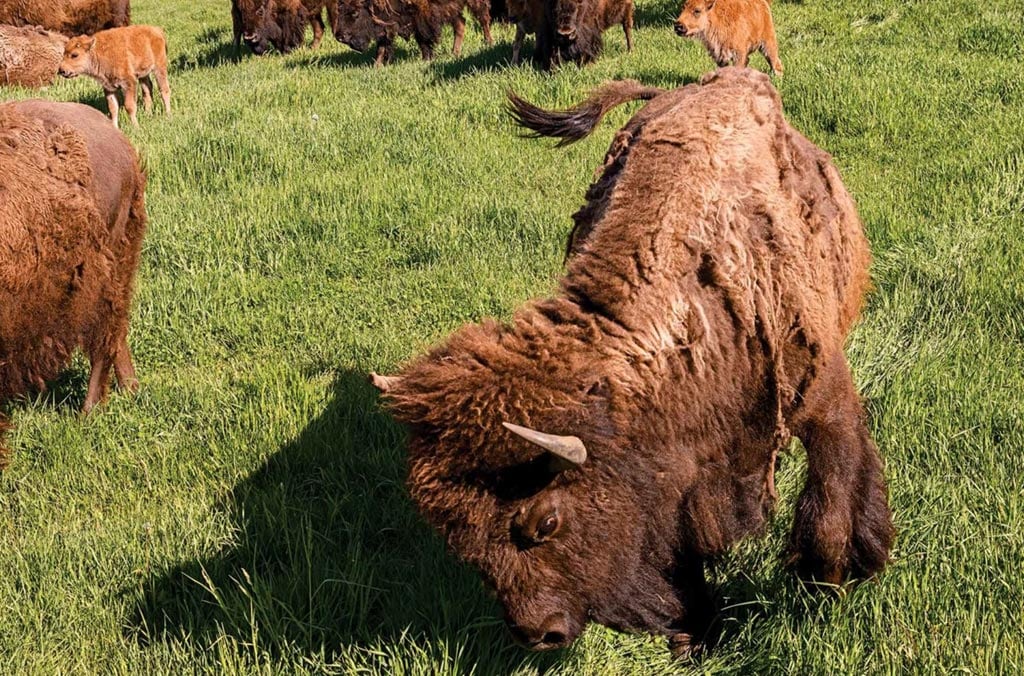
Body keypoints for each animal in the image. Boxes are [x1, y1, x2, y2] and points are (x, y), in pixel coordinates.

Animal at [333, 0, 493, 66]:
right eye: (339, 11)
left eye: (355, 13)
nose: (340, 37)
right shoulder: (389, 22)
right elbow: (382, 46)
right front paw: (377, 66)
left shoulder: (420, 17)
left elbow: (423, 40)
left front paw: (427, 59)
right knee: (461, 23)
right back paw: (455, 53)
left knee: (483, 18)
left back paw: (488, 42)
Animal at [372, 68, 892, 655]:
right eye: (460, 542)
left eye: (545, 522)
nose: (540, 634)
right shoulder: (676, 477)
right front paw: (694, 636)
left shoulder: (826, 402)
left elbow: (833, 503)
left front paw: (831, 585)